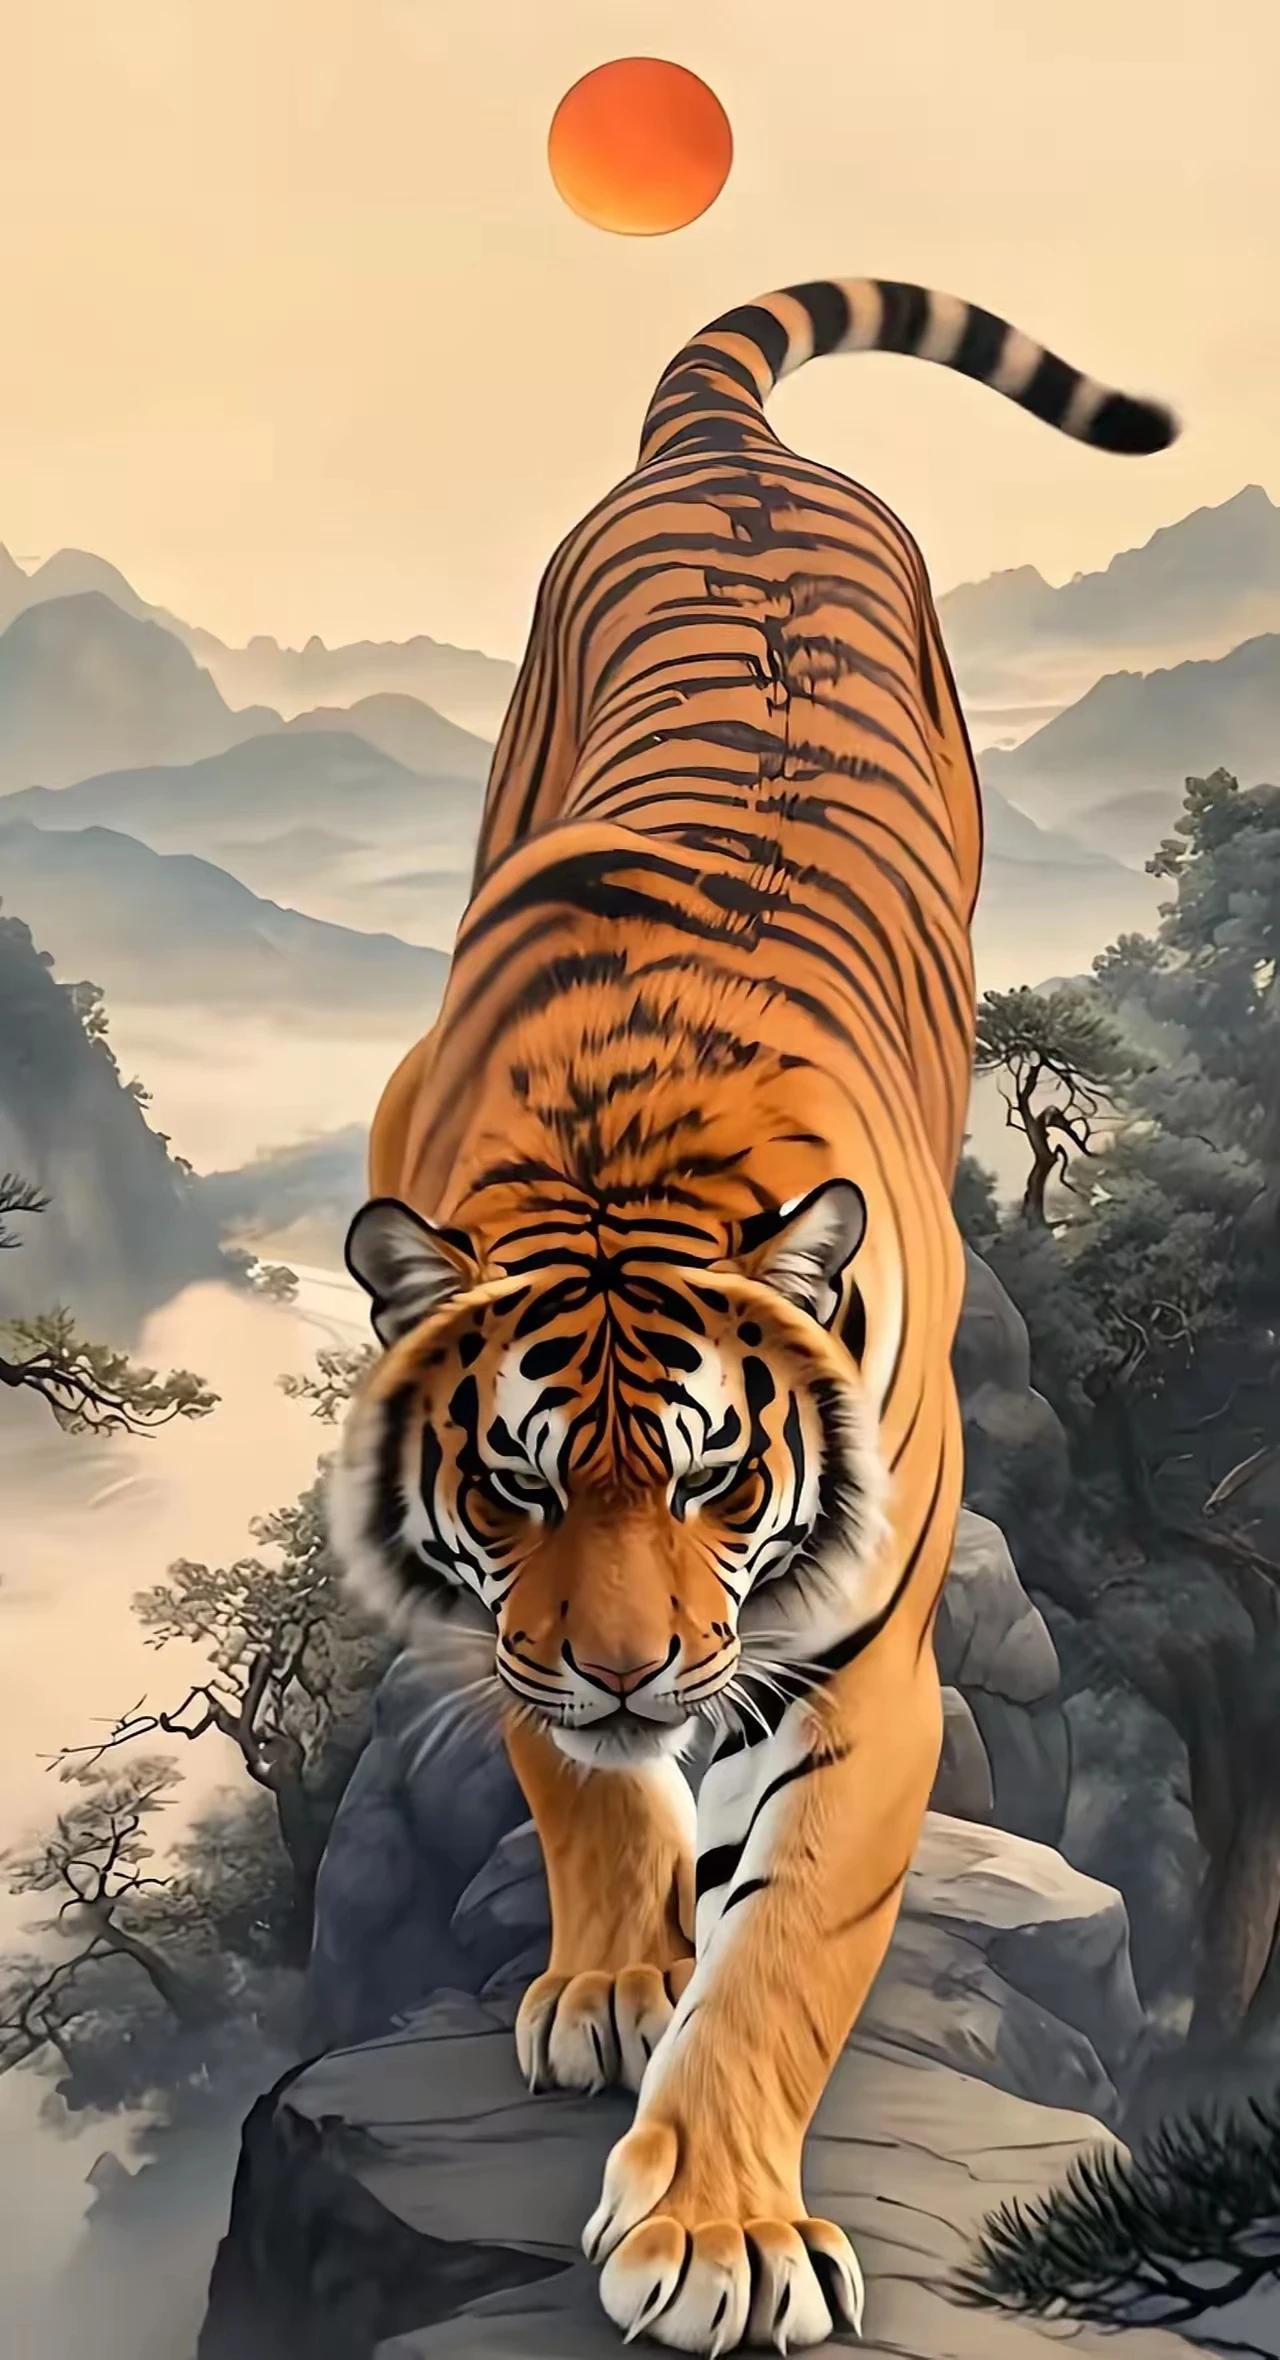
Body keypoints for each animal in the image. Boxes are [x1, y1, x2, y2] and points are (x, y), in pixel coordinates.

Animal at [329, 276, 1175, 2355]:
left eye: (720, 1481)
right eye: (520, 1487)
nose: (643, 1669)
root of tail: (735, 448)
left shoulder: (870, 1669)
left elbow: (786, 1947)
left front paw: (717, 2232)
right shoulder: (530, 1628)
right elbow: (578, 1786)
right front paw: (612, 1978)